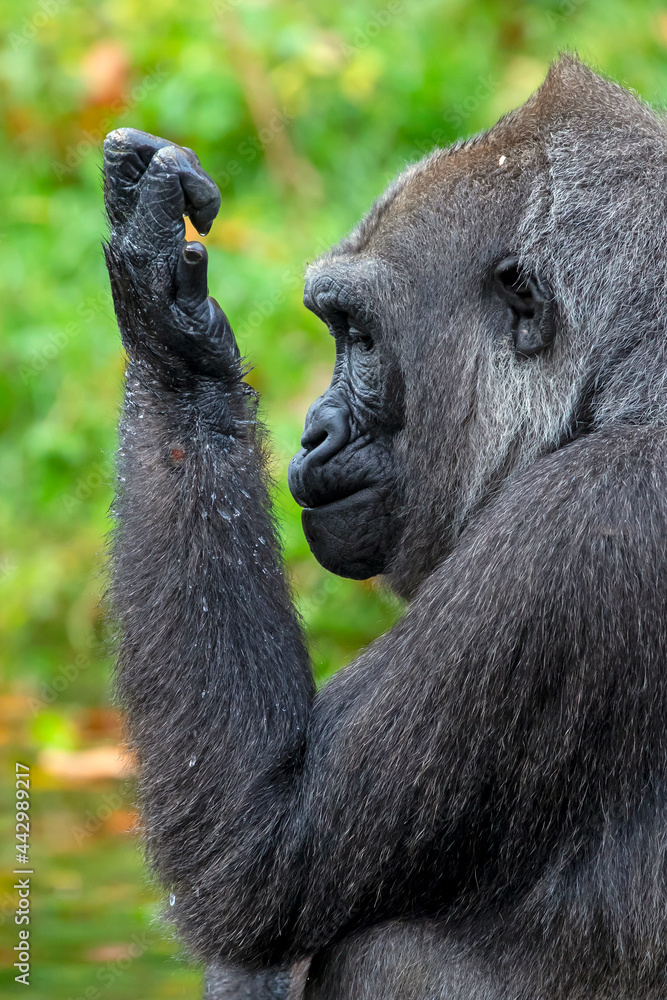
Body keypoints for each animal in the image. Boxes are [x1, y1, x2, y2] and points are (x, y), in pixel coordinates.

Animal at [103, 55, 667, 999]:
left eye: (359, 336)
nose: (313, 431)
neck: (634, 379)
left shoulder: (576, 527)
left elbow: (257, 858)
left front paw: (170, 332)